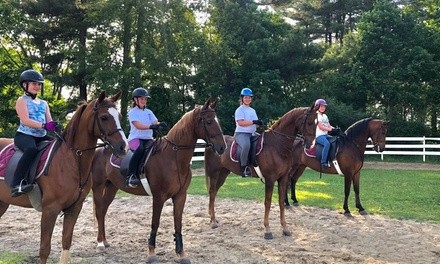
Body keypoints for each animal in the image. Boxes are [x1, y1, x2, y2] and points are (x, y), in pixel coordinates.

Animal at [0, 91, 128, 264]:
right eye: (104, 117)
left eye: (119, 116)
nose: (123, 147)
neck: (71, 161)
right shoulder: (50, 209)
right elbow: (44, 249)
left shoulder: (74, 208)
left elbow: (66, 242)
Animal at [90, 98, 227, 262]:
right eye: (208, 121)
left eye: (217, 120)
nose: (222, 147)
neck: (173, 158)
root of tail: (99, 149)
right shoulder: (158, 197)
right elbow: (155, 223)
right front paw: (151, 253)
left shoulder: (180, 196)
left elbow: (178, 223)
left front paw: (181, 254)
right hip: (98, 187)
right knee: (99, 211)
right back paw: (100, 243)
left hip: (112, 187)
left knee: (103, 210)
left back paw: (104, 241)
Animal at [205, 104, 318, 240]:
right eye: (310, 122)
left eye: (317, 123)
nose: (310, 145)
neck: (277, 145)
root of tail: (212, 145)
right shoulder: (270, 179)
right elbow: (267, 203)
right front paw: (268, 230)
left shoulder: (283, 178)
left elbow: (281, 202)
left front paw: (285, 229)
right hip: (214, 173)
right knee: (212, 193)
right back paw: (212, 221)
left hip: (223, 173)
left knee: (214, 192)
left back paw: (213, 219)